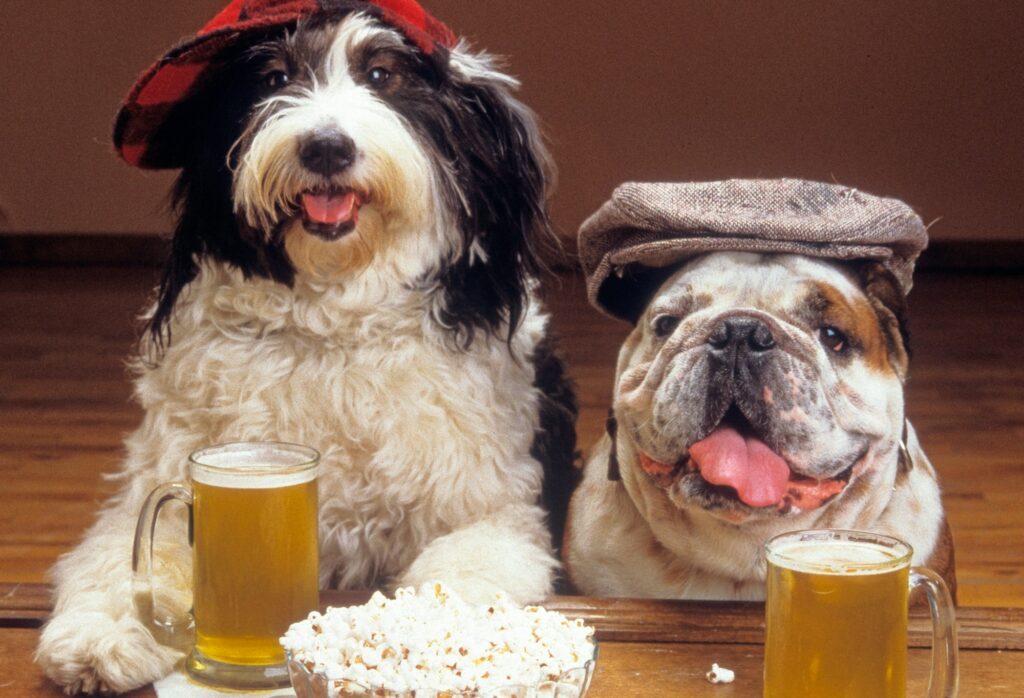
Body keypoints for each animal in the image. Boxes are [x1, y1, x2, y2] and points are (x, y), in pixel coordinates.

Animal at [37, 9, 577, 691]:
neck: (332, 328)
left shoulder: (495, 511)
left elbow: (465, 569)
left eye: (382, 74)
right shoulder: (159, 490)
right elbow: (127, 562)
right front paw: (103, 633)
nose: (325, 146)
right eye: (272, 77)